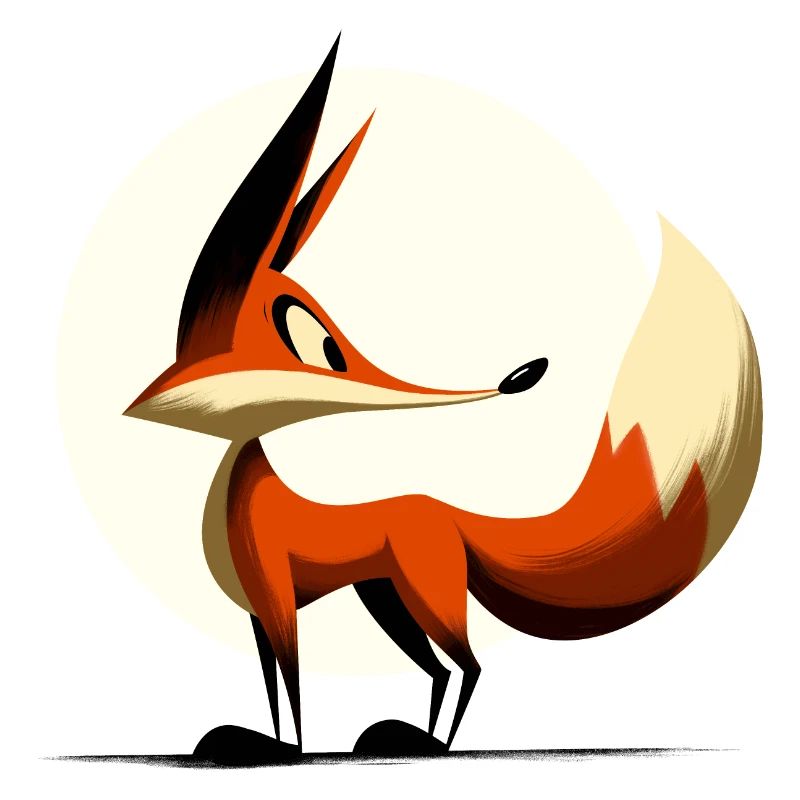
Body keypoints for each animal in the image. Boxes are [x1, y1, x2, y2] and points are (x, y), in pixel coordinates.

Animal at [124, 37, 762, 763]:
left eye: (317, 342)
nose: (163, 392)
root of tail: (448, 513)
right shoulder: (260, 615)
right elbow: (273, 689)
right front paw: (259, 740)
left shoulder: (279, 600)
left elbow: (292, 684)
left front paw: (287, 750)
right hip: (385, 598)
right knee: (439, 667)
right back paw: (401, 738)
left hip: (418, 593)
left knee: (469, 665)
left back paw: (428, 743)